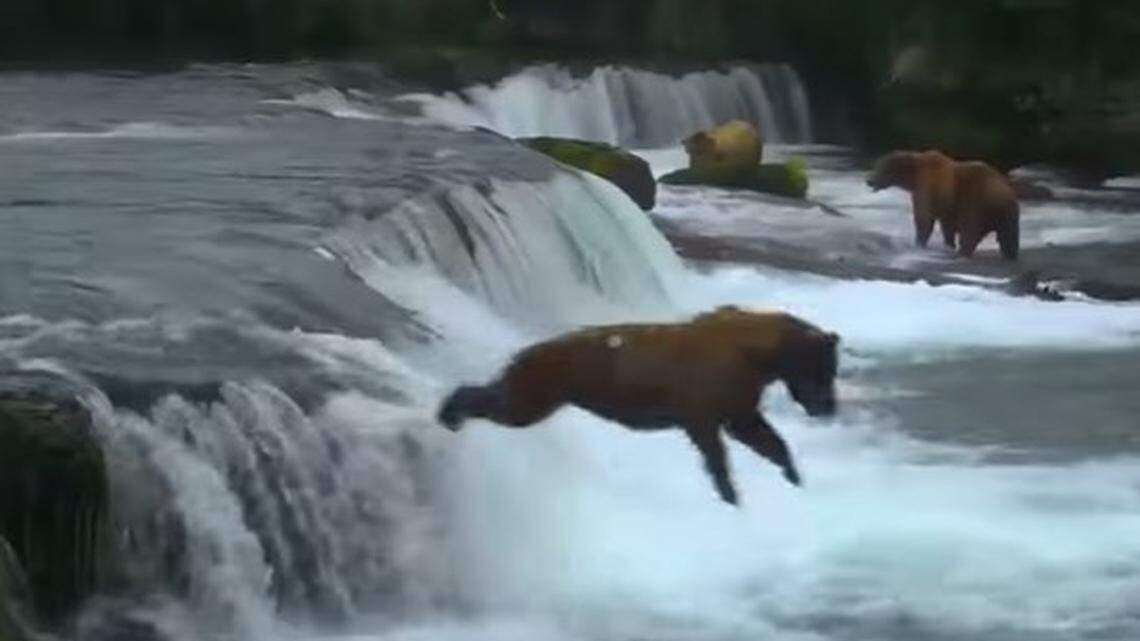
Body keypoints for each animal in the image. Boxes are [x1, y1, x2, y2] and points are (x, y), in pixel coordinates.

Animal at [437, 306, 840, 506]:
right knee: (499, 402)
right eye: (823, 371)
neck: (754, 353)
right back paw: (450, 413)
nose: (829, 407)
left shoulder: (738, 410)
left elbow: (769, 440)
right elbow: (717, 456)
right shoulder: (703, 412)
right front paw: (730, 495)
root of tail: (525, 350)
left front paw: (793, 475)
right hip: (536, 393)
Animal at [866, 150, 1020, 260]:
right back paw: (1010, 254)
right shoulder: (947, 206)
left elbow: (924, 218)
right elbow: (946, 226)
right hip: (1007, 212)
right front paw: (948, 245)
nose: (869, 180)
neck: (913, 176)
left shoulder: (928, 186)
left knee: (971, 228)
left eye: (881, 167)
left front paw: (919, 243)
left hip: (978, 201)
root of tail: (1007, 191)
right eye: (876, 164)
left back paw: (962, 252)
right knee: (1008, 234)